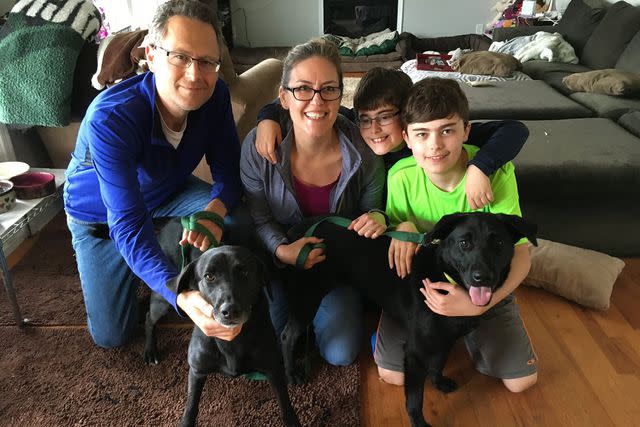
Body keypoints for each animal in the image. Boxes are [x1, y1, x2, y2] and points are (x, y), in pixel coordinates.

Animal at [282, 213, 536, 427]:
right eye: (464, 244)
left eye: (499, 244)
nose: (482, 278)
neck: (443, 275)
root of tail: (298, 229)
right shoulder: (415, 353)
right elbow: (415, 399)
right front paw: (420, 423)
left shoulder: (443, 340)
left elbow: (438, 363)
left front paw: (439, 382)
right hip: (307, 297)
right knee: (287, 335)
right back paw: (292, 373)